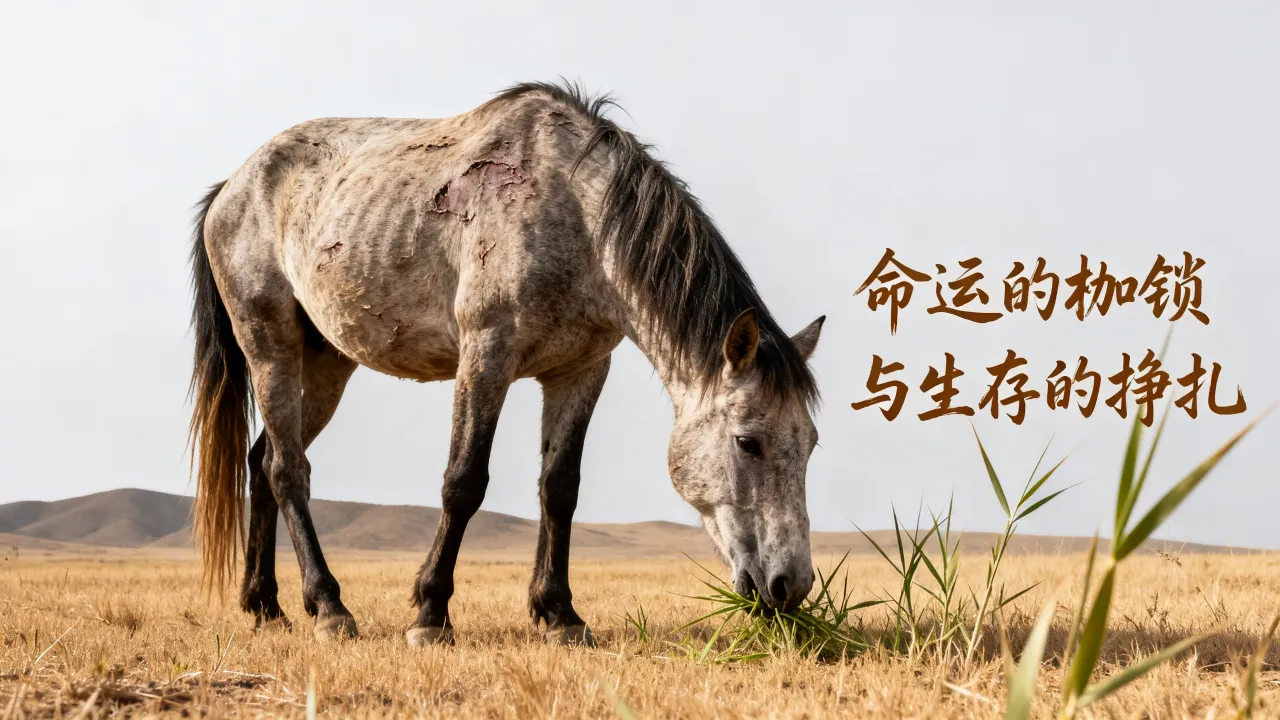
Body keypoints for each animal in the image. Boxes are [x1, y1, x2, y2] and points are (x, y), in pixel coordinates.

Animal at [187, 81, 825, 646]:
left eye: (811, 444)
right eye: (747, 442)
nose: (789, 587)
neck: (574, 212)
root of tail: (231, 187)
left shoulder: (580, 371)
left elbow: (559, 488)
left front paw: (560, 614)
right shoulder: (486, 353)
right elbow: (464, 482)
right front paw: (430, 615)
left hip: (327, 364)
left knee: (263, 460)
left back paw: (265, 606)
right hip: (269, 344)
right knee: (287, 471)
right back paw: (328, 607)